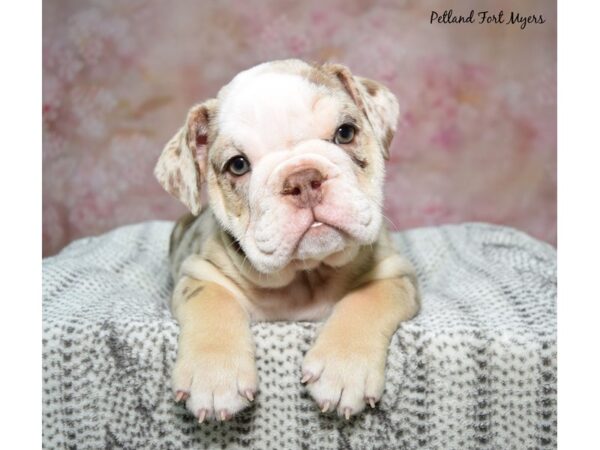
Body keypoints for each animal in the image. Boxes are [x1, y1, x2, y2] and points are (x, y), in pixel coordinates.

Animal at [154, 59, 418, 422]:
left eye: (345, 133)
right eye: (238, 165)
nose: (303, 179)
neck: (306, 274)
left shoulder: (393, 272)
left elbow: (367, 299)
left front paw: (343, 367)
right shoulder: (201, 272)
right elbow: (212, 303)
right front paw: (214, 375)